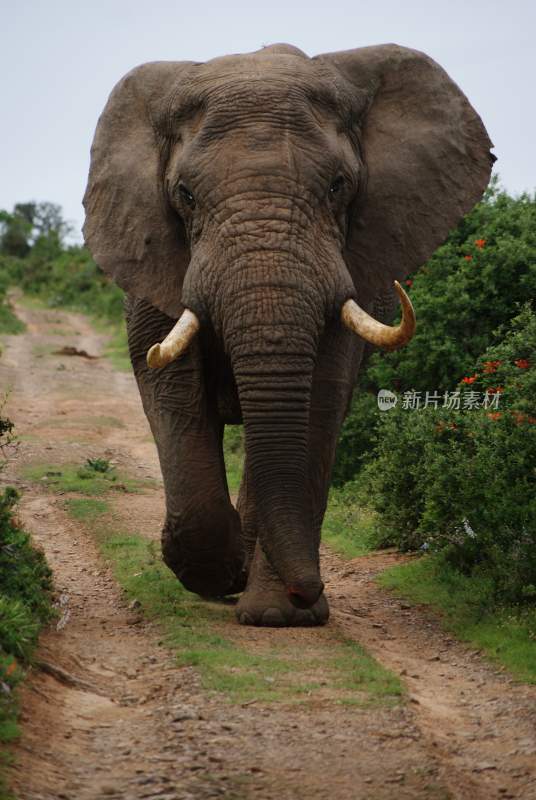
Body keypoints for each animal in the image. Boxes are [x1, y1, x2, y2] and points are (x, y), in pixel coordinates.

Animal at [85, 43, 494, 628]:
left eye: (338, 186)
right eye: (184, 195)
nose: (310, 590)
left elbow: (320, 398)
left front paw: (280, 615)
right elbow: (171, 388)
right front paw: (218, 573)